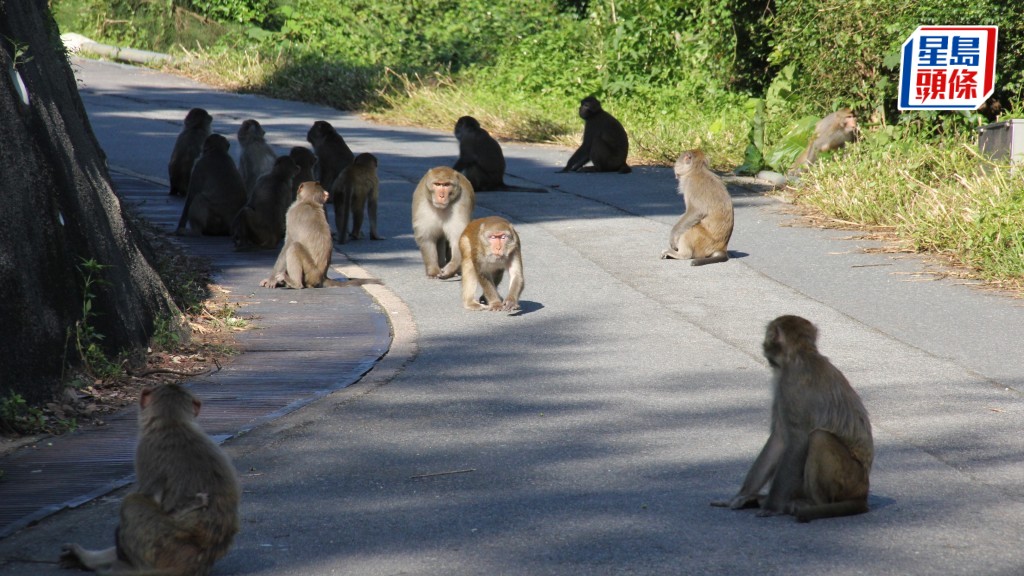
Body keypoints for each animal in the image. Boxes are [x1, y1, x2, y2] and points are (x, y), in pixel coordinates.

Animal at [712, 313, 872, 520]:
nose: (763, 344)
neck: (801, 354)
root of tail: (863, 493)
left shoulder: (788, 385)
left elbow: (797, 441)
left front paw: (772, 507)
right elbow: (779, 438)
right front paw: (741, 496)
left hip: (850, 480)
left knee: (819, 437)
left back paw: (812, 504)